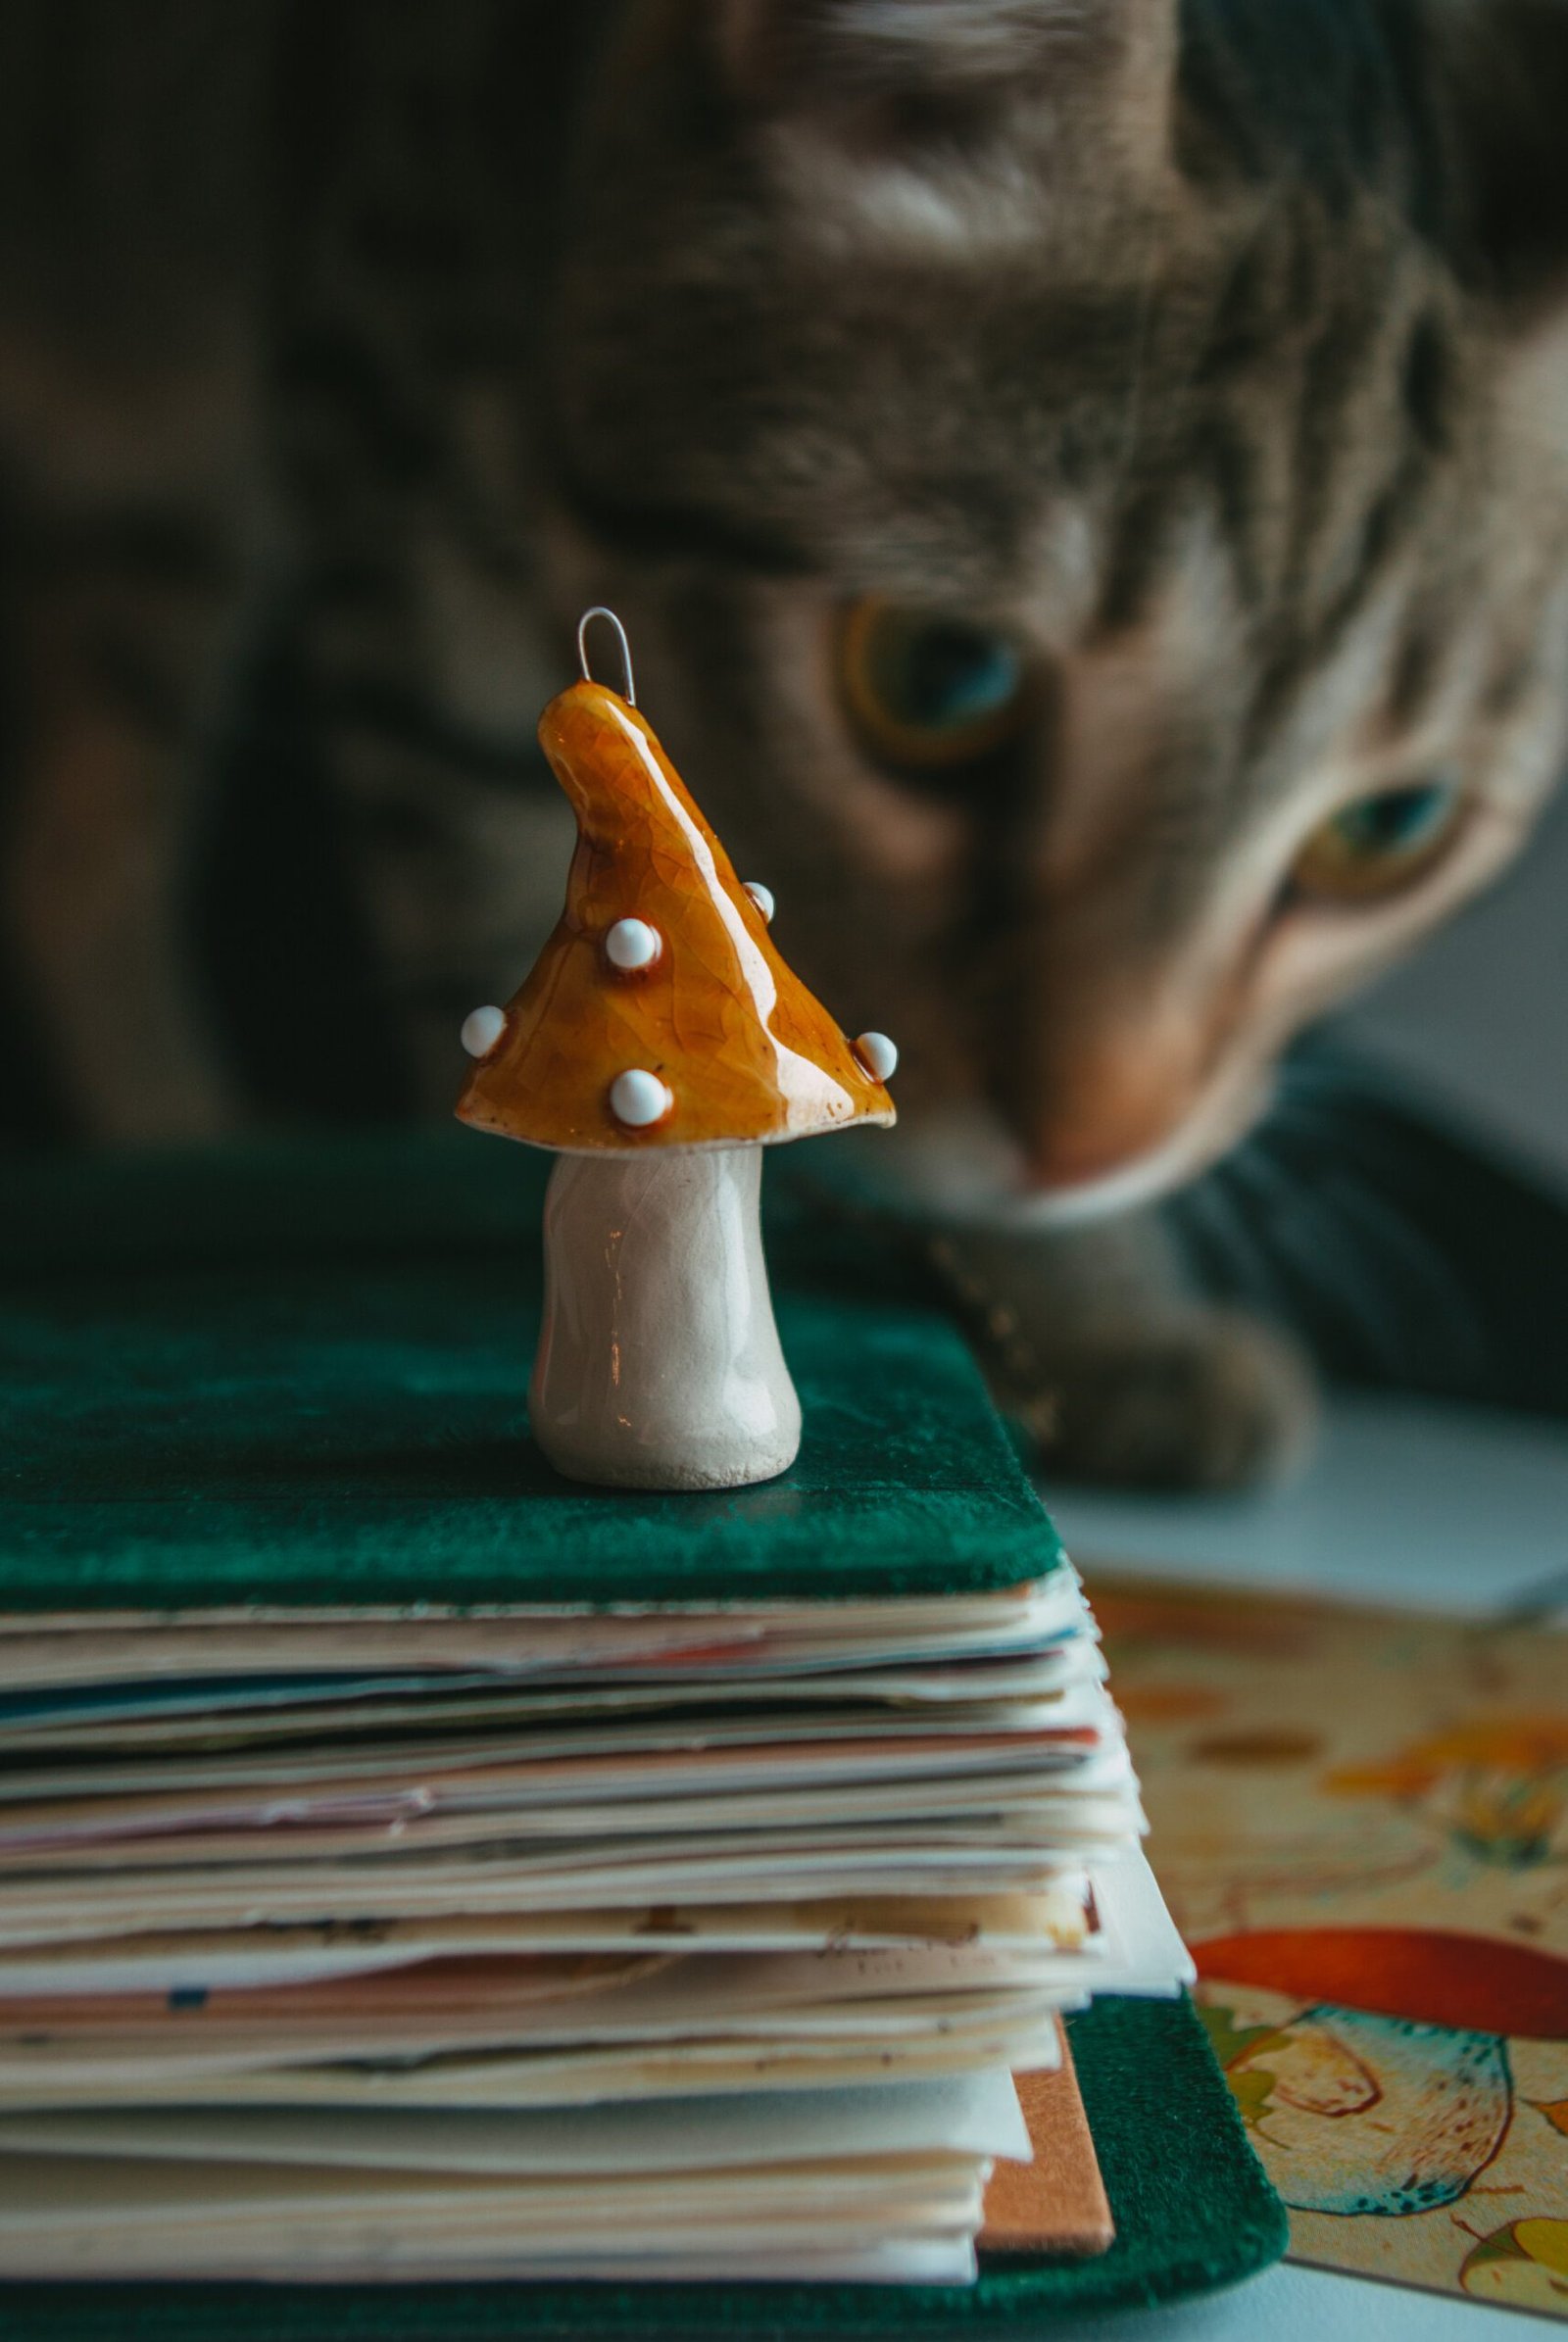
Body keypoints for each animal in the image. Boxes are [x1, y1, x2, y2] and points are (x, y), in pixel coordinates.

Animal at [3, 0, 1565, 1480]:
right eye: (939, 675)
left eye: (1389, 833)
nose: (1084, 1158)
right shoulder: (386, 412)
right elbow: (467, 847)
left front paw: (1088, 1306)